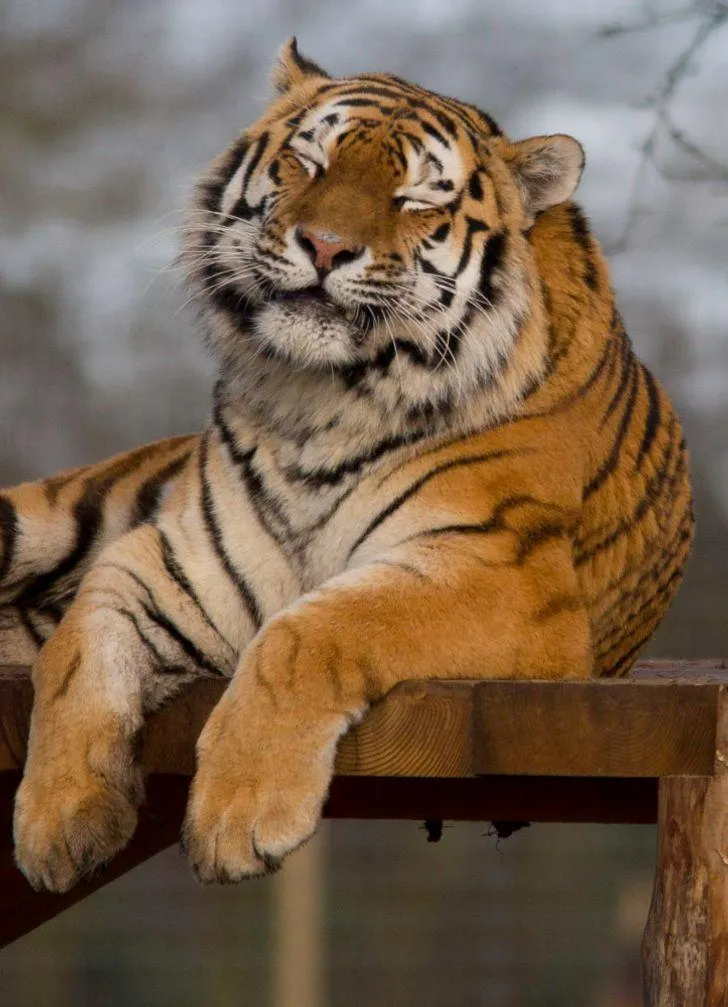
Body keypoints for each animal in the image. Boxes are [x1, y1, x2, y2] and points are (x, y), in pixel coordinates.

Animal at [2, 38, 693, 893]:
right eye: (310, 162)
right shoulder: (175, 557)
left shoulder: (500, 573)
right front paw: (59, 817)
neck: (321, 401)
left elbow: (307, 631)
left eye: (416, 199)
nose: (326, 247)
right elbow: (77, 650)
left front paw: (238, 816)